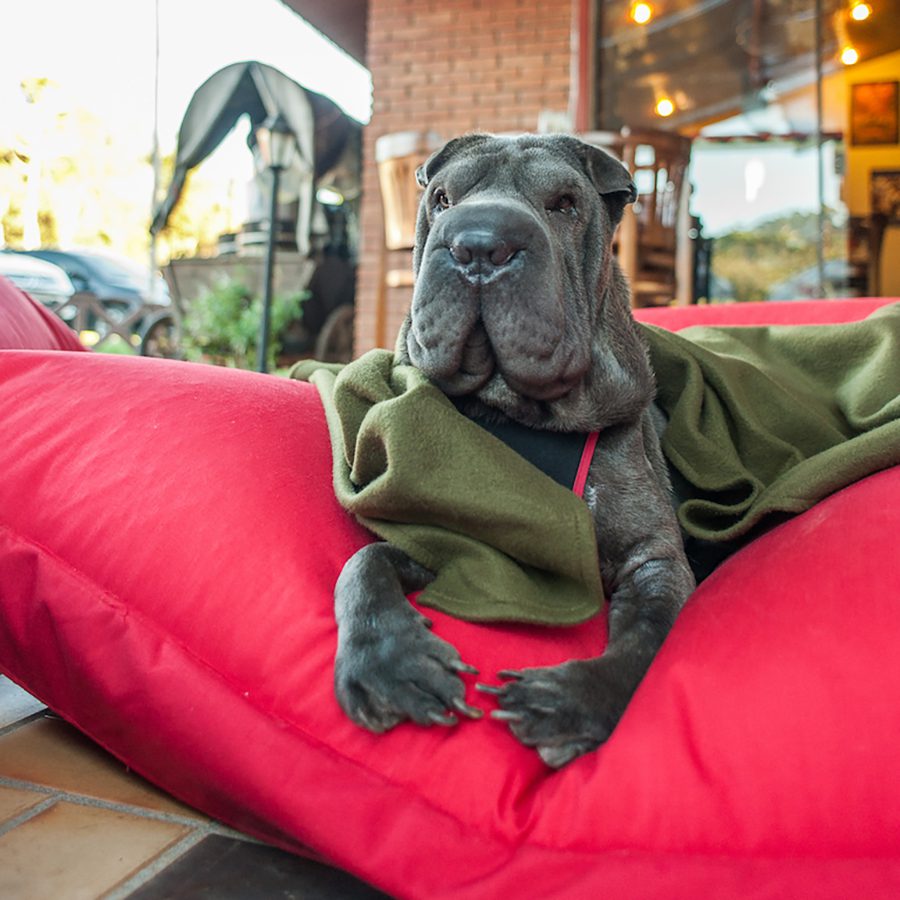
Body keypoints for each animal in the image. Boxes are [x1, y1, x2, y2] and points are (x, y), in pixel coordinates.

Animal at [334, 134, 692, 768]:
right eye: (442, 198)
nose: (479, 244)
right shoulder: (453, 541)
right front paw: (390, 662)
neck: (520, 416)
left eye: (564, 204)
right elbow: (362, 564)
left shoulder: (657, 560)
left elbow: (647, 638)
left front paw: (568, 698)